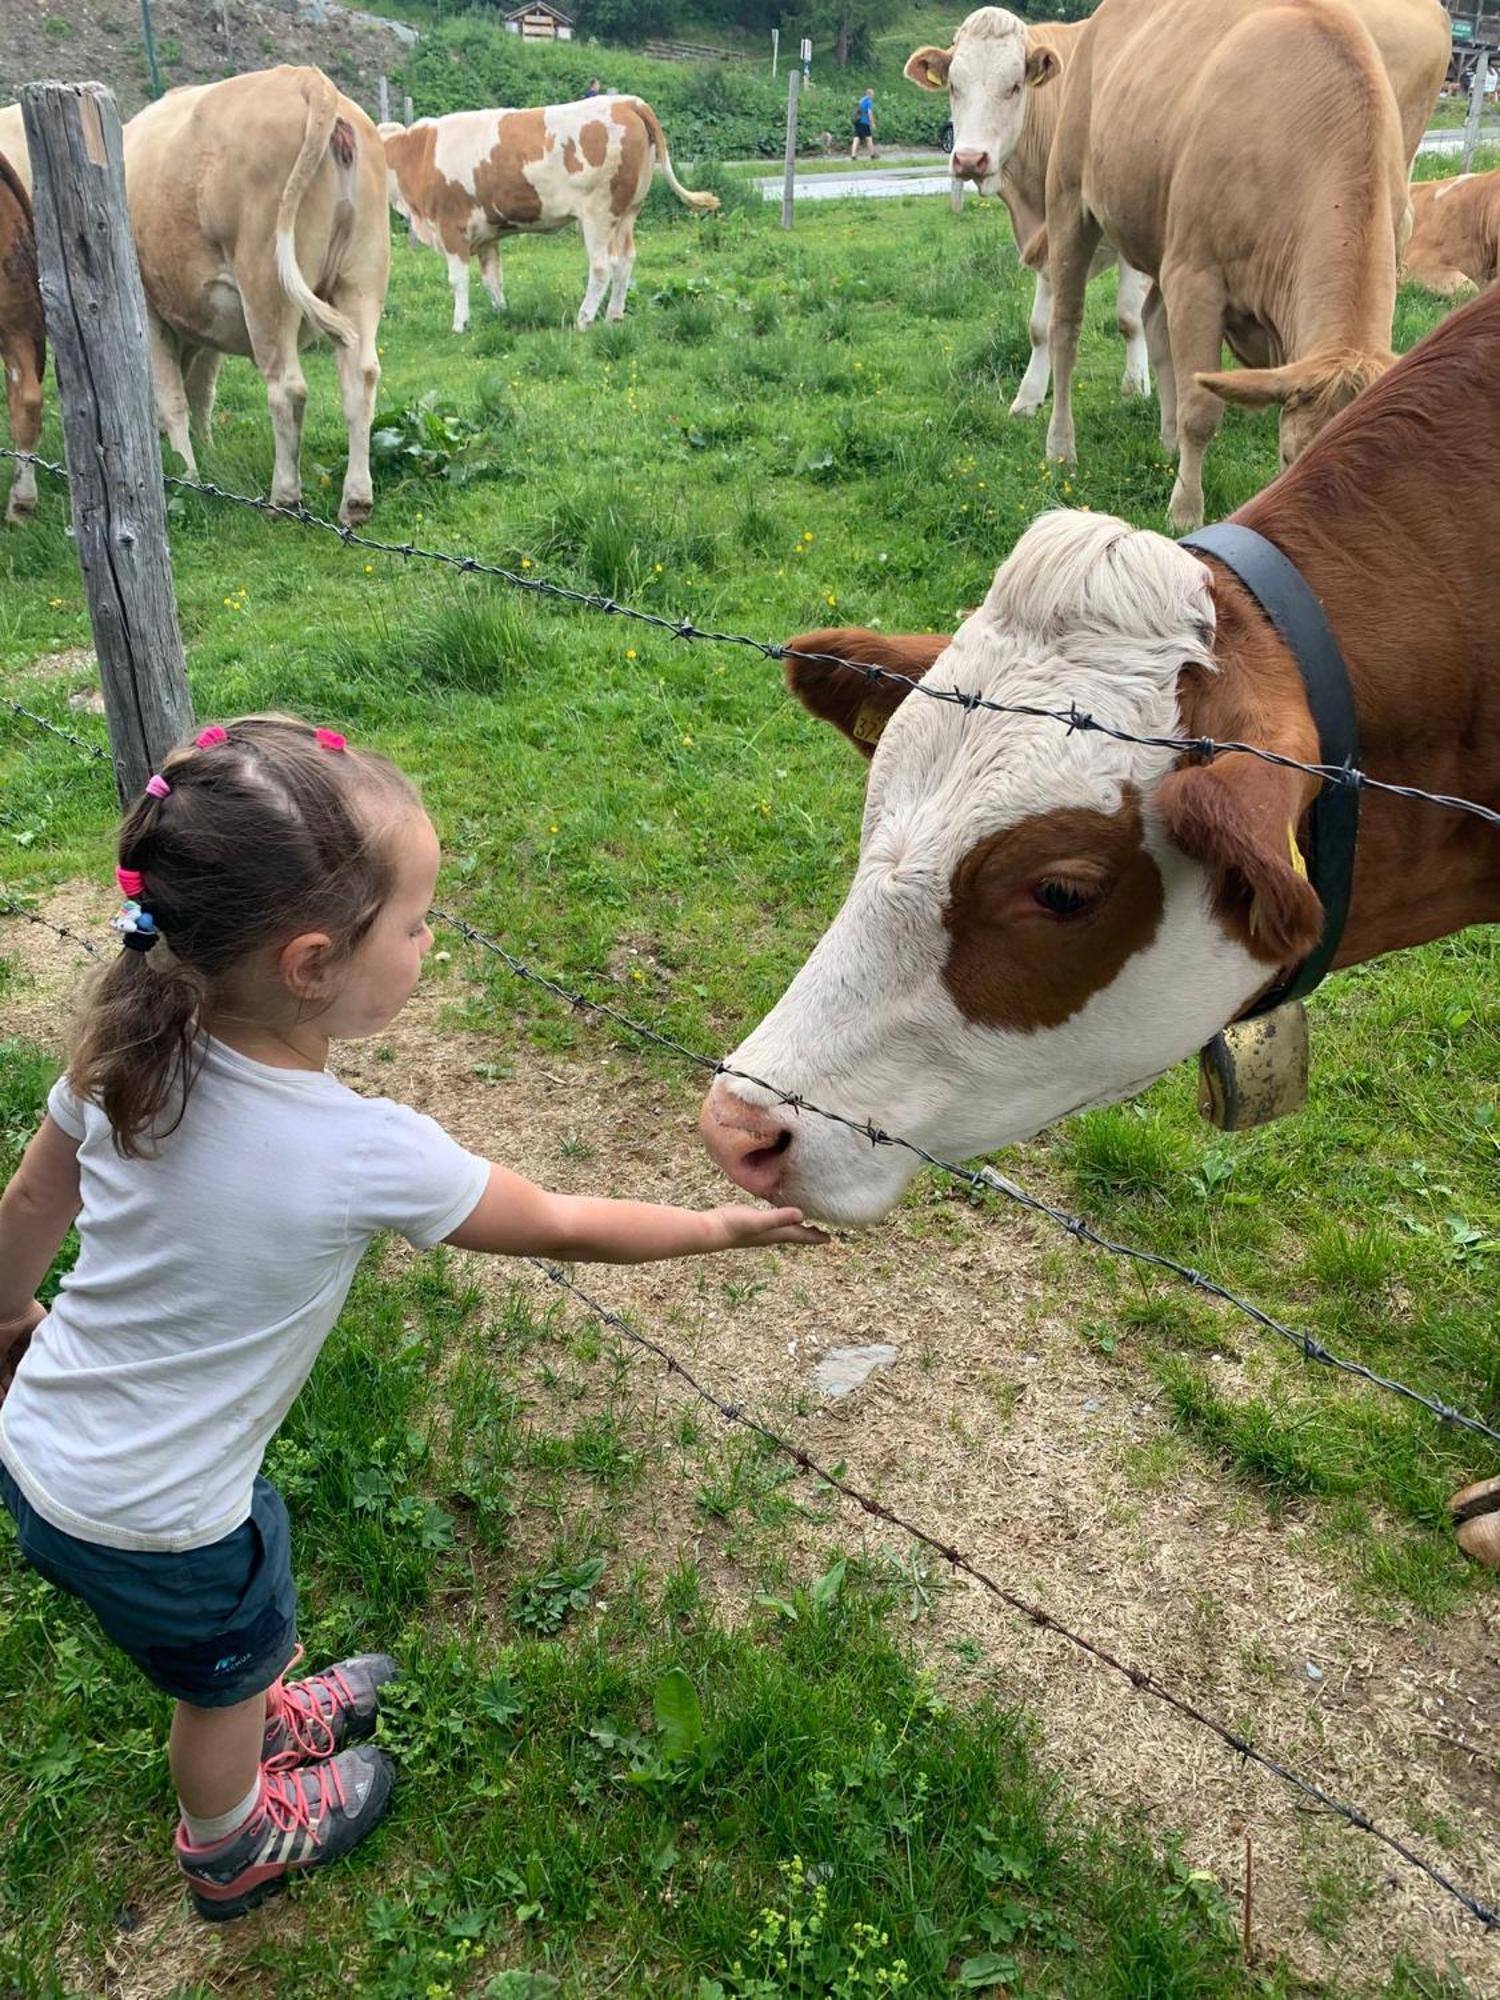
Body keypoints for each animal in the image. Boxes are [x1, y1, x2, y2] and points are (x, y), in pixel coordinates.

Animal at [125, 67, 394, 528]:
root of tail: (309, 80)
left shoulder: (150, 306)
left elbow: (173, 396)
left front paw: (187, 473)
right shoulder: (203, 320)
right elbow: (200, 391)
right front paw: (207, 452)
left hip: (266, 284)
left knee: (286, 387)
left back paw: (283, 498)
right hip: (361, 276)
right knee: (360, 377)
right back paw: (356, 502)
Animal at [382, 97, 724, 336]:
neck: (418, 155)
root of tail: (628, 101)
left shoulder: (452, 228)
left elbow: (458, 281)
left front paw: (460, 324)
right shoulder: (488, 235)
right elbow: (492, 280)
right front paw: (503, 313)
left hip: (598, 214)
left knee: (602, 267)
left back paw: (584, 319)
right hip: (627, 213)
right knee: (625, 262)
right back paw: (613, 316)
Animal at [900, 9, 1160, 418]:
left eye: (1014, 86)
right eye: (954, 86)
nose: (969, 159)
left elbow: (1129, 316)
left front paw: (1136, 387)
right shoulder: (1046, 236)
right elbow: (1040, 326)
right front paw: (1028, 397)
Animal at [1040, 0, 1448, 532]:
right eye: (1292, 457)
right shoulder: (1196, 276)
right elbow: (1201, 409)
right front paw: (1185, 513)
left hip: (1161, 232)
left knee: (1154, 321)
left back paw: (1166, 441)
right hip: (1069, 196)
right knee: (1066, 326)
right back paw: (1061, 446)